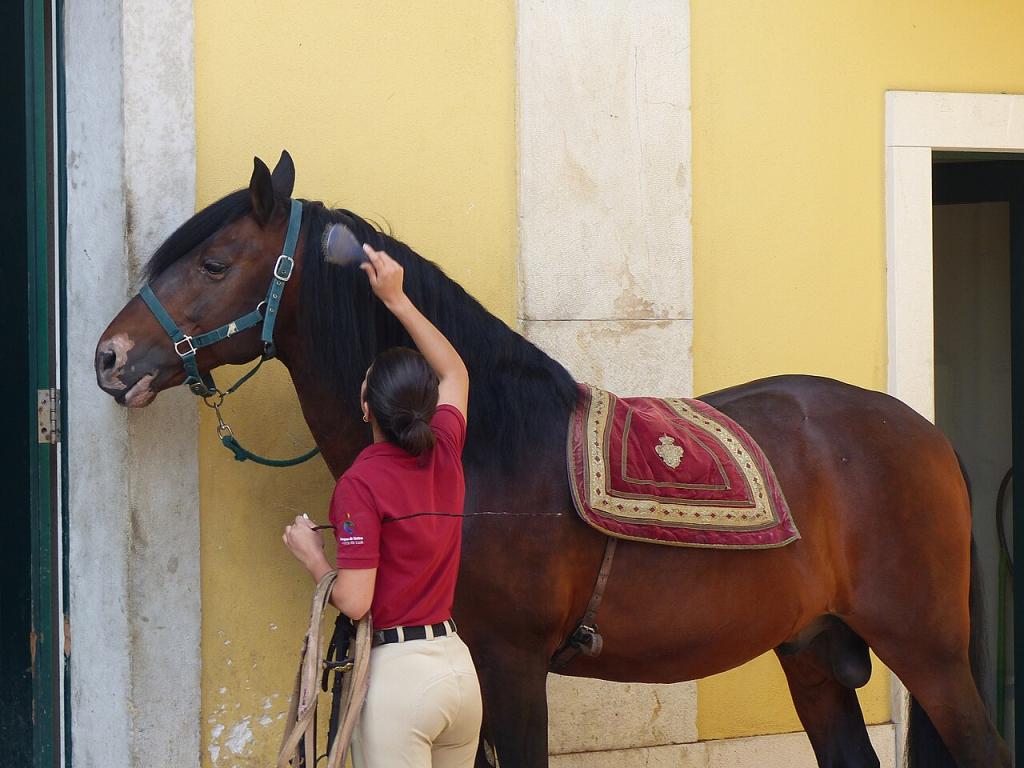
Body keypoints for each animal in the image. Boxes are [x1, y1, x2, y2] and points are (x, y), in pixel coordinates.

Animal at [94, 151, 1010, 768]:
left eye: (213, 263)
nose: (109, 357)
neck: (481, 449)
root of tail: (923, 432)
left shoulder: (511, 664)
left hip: (928, 652)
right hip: (815, 654)